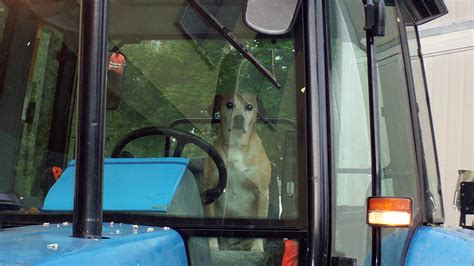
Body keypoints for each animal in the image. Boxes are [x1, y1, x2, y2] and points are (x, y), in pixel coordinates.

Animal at [203, 91, 270, 251]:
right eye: (229, 104)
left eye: (249, 107)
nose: (239, 118)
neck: (236, 145)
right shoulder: (211, 187)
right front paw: (212, 246)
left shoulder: (262, 191)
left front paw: (257, 249)